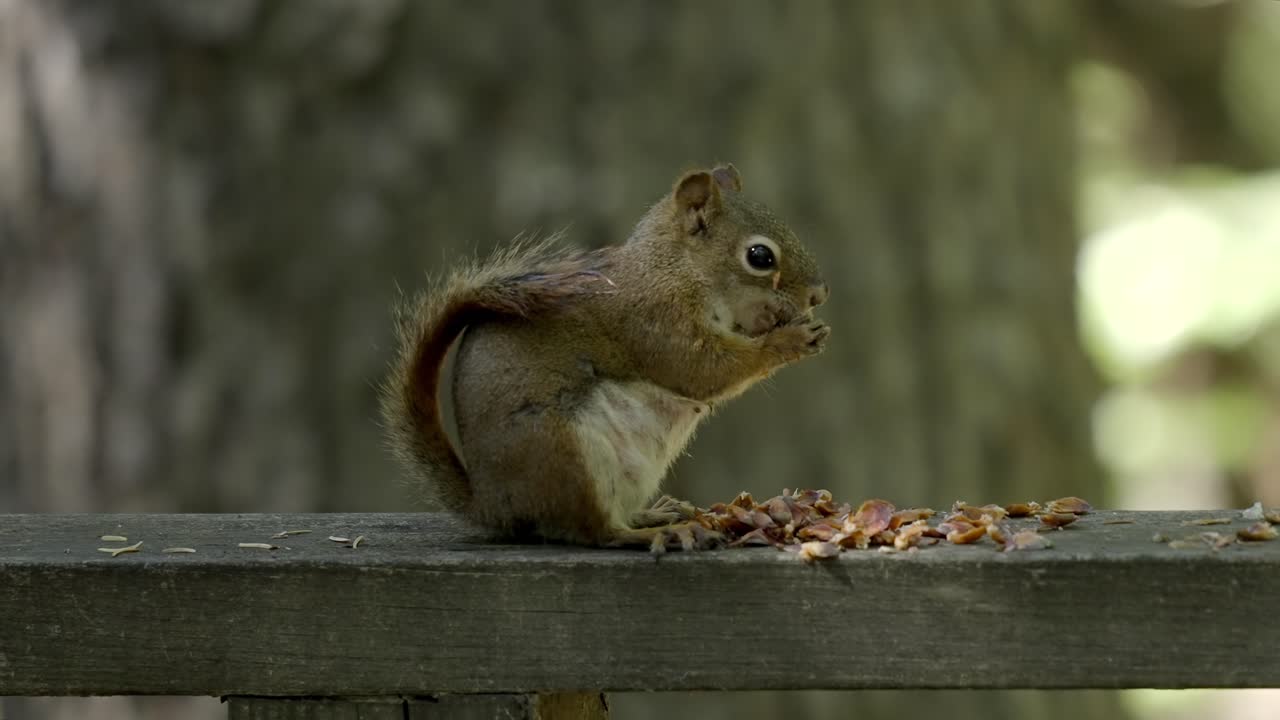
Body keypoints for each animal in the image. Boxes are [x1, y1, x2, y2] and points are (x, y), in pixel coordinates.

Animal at [380, 164, 829, 551]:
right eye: (760, 257)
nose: (819, 294)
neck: (678, 270)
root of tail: (494, 505)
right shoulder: (655, 322)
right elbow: (703, 371)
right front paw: (790, 339)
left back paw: (656, 515)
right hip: (564, 454)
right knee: (596, 532)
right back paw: (658, 533)